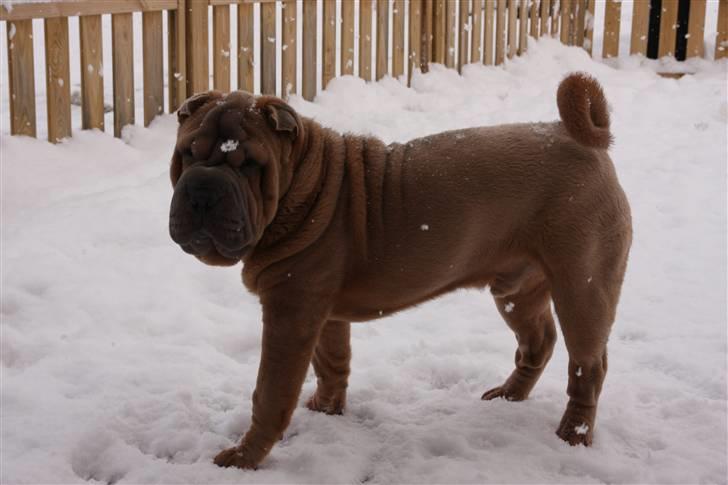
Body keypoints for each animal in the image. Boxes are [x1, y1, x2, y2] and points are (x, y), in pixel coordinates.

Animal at [169, 73, 632, 468]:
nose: (203, 189)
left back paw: (573, 433)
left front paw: (244, 457)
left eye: (248, 164)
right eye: (188, 153)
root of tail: (577, 138)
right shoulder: (321, 312)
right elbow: (332, 362)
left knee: (589, 365)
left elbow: (270, 392)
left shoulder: (290, 312)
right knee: (539, 342)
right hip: (517, 291)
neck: (300, 186)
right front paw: (326, 409)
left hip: (582, 286)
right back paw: (508, 395)